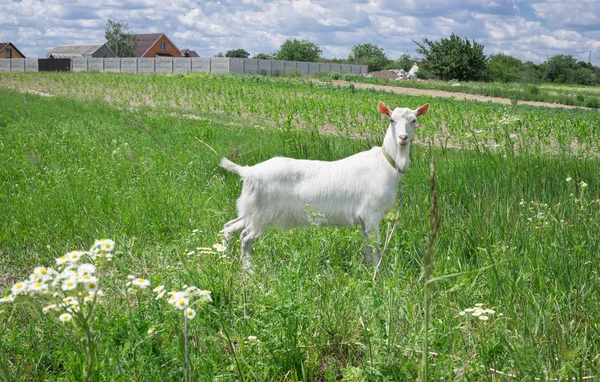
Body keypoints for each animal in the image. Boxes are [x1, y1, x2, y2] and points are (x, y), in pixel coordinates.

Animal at [218, 102, 428, 272]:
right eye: (391, 119)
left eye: (414, 120)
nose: (403, 137)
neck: (388, 162)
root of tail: (248, 171)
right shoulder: (372, 213)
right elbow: (376, 246)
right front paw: (378, 275)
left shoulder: (364, 219)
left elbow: (367, 244)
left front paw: (367, 269)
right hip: (260, 213)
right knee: (245, 237)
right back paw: (248, 270)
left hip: (250, 210)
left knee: (230, 226)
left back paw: (224, 257)